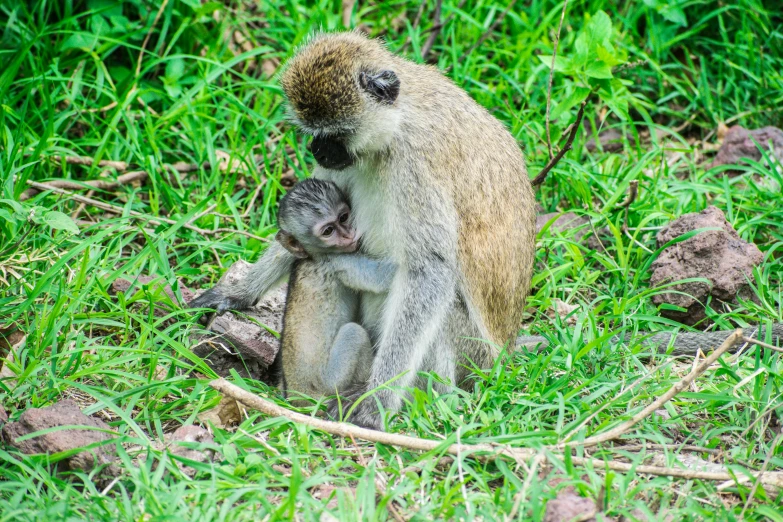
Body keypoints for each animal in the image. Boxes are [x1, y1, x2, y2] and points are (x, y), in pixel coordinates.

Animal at [272, 179, 396, 402]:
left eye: (344, 217)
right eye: (328, 231)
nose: (348, 235)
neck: (314, 256)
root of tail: (297, 396)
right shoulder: (339, 263)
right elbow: (385, 277)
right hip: (328, 383)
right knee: (354, 332)